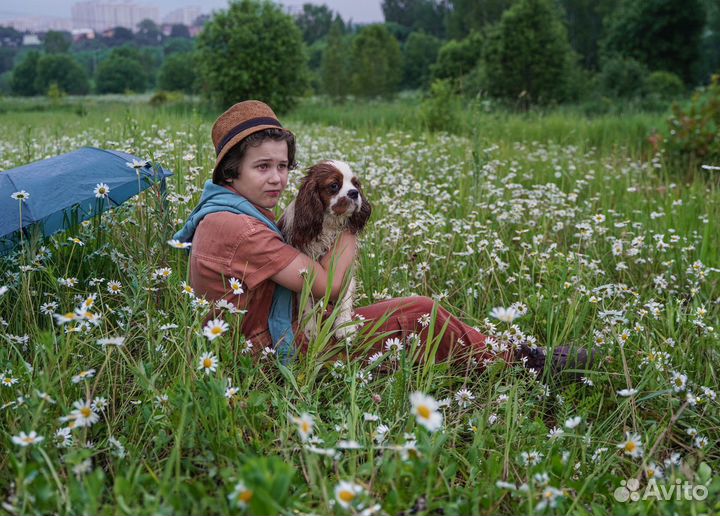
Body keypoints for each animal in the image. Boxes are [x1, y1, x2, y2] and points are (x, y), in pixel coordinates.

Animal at [280, 159, 374, 340]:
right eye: (334, 185)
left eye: (355, 184)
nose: (354, 193)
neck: (329, 224)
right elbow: (306, 297)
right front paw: (310, 327)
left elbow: (345, 293)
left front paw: (344, 324)